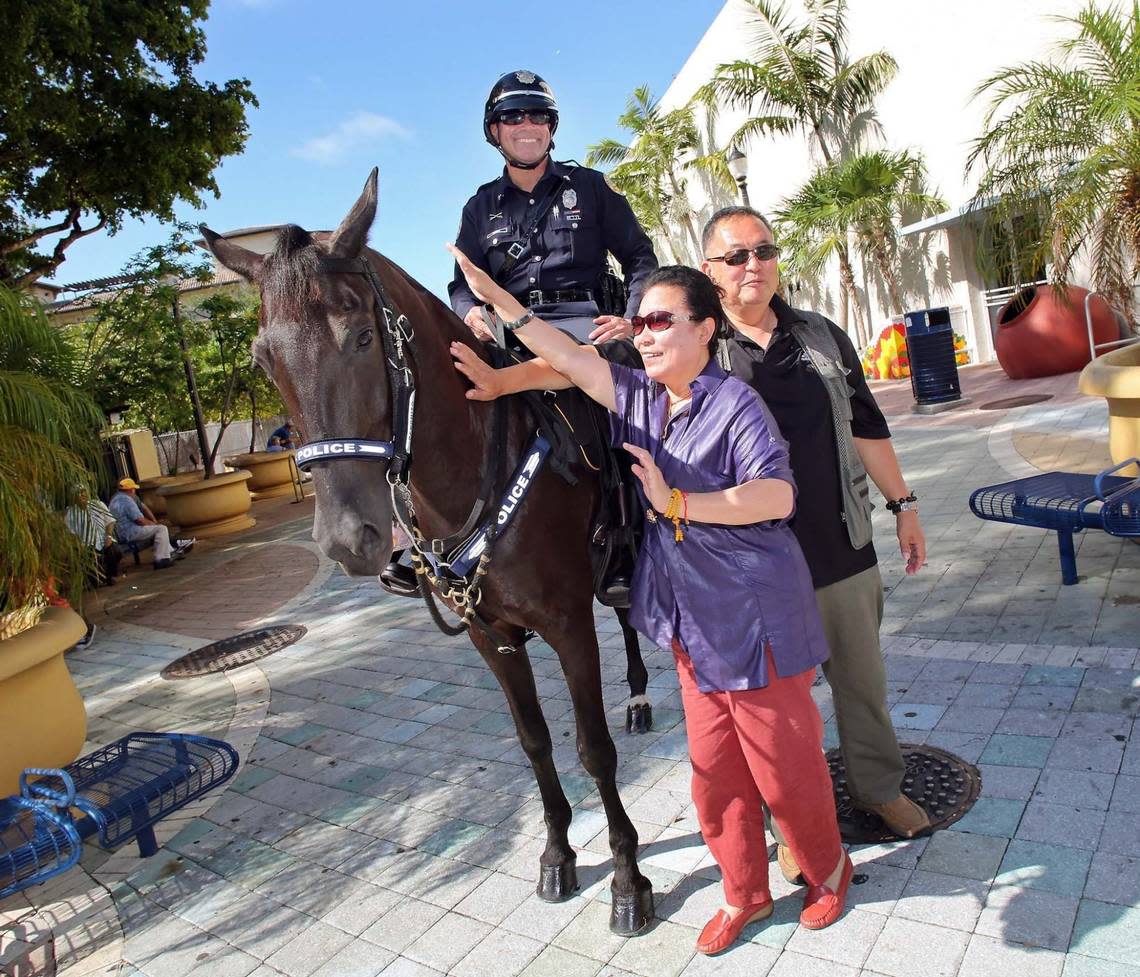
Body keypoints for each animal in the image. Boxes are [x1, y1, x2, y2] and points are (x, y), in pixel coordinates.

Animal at [200, 171, 656, 934]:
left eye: (361, 335)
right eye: (264, 361)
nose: (345, 538)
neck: (479, 466)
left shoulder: (567, 624)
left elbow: (592, 747)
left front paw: (627, 877)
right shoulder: (487, 634)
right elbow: (534, 739)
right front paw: (558, 853)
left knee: (625, 611)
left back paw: (643, 692)